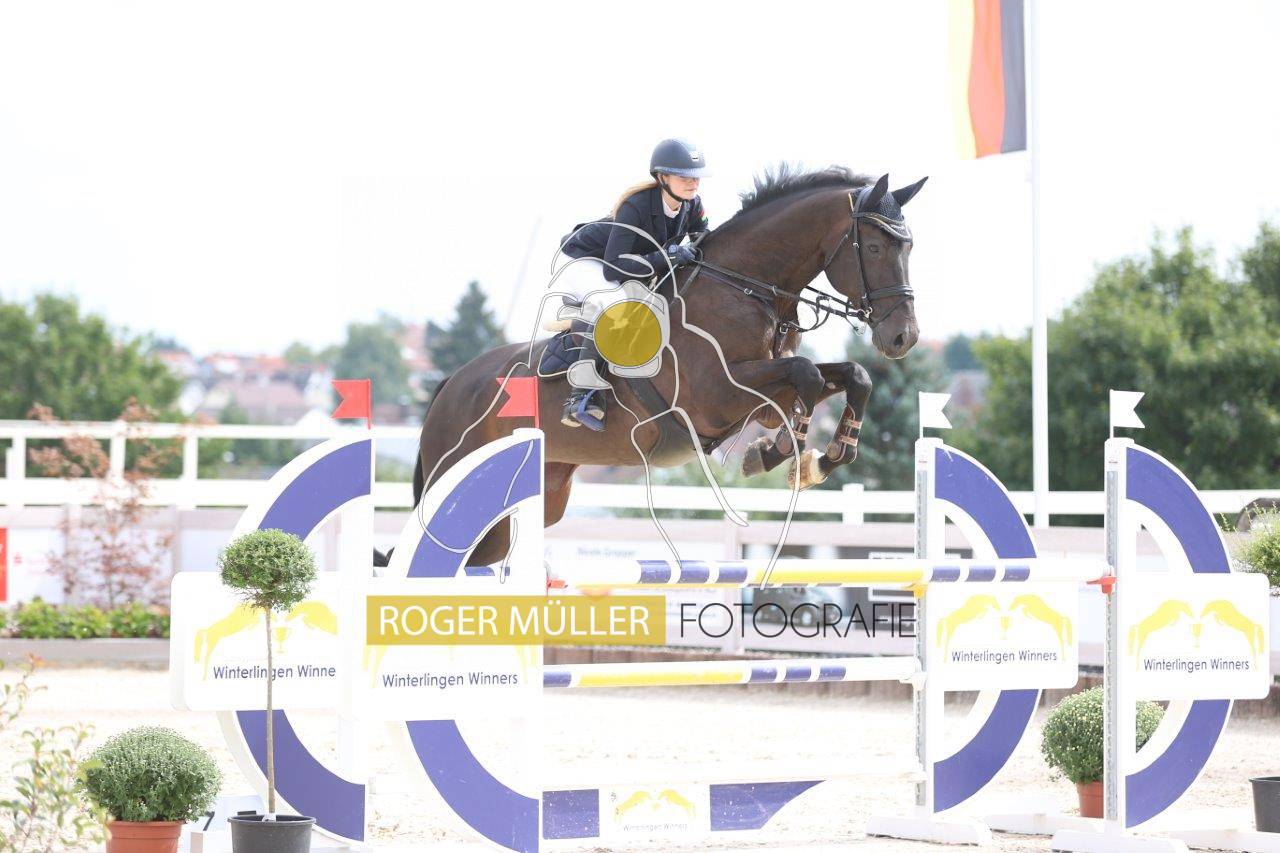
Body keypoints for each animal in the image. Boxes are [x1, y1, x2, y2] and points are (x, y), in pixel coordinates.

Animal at [409, 166, 925, 568]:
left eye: (909, 248)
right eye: (874, 248)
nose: (903, 338)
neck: (745, 287)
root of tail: (449, 384)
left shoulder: (759, 395)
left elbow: (848, 376)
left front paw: (819, 457)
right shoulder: (717, 397)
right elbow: (808, 374)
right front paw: (784, 451)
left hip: (540, 496)